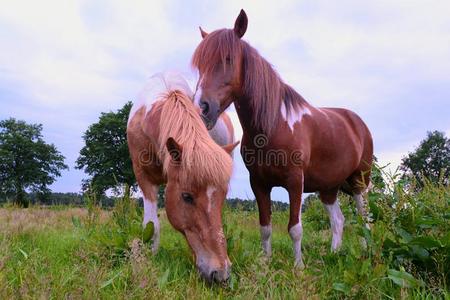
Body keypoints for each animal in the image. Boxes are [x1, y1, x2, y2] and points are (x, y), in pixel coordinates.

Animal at [192, 9, 374, 268]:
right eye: (200, 65)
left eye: (228, 59)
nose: (202, 107)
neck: (273, 126)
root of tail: (358, 123)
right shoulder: (259, 183)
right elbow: (265, 227)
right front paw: (265, 263)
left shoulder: (295, 182)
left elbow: (295, 228)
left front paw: (298, 267)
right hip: (329, 188)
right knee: (338, 221)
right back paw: (333, 254)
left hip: (360, 180)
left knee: (363, 218)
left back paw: (365, 254)